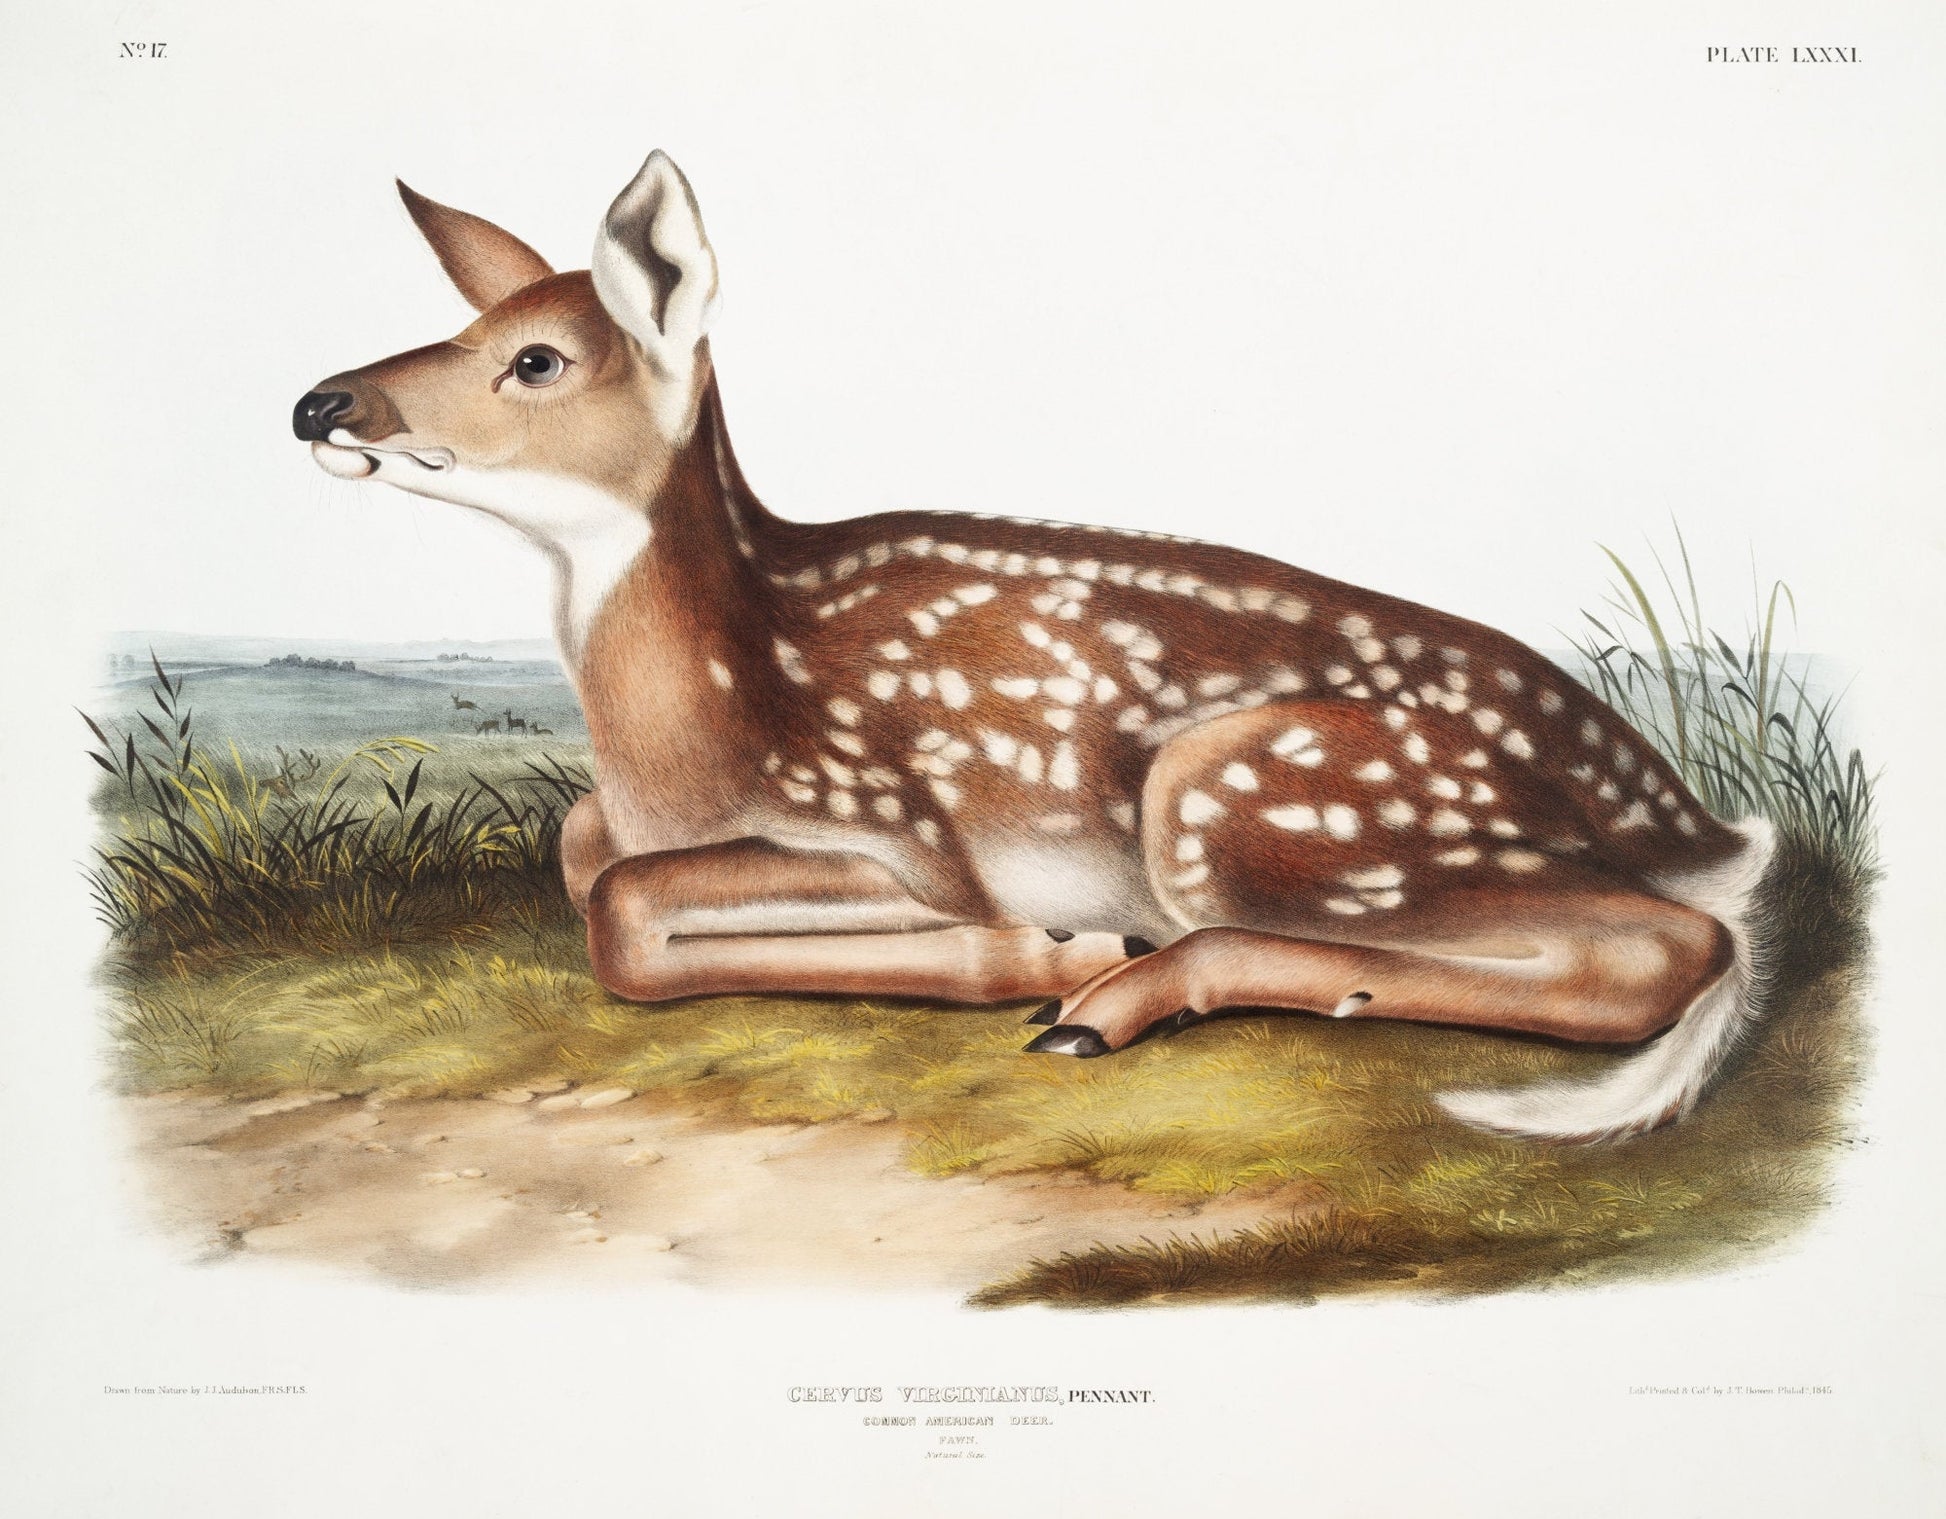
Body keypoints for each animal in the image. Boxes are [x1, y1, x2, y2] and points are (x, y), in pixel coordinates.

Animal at [292, 151, 1777, 1141]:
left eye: (536, 359)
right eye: (464, 327)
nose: (319, 402)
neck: (688, 741)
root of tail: (1698, 819)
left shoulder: (899, 823)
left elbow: (624, 908)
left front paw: (1034, 951)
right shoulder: (636, 815)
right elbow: (581, 849)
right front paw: (1051, 949)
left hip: (1248, 795)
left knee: (1667, 948)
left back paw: (1106, 990)